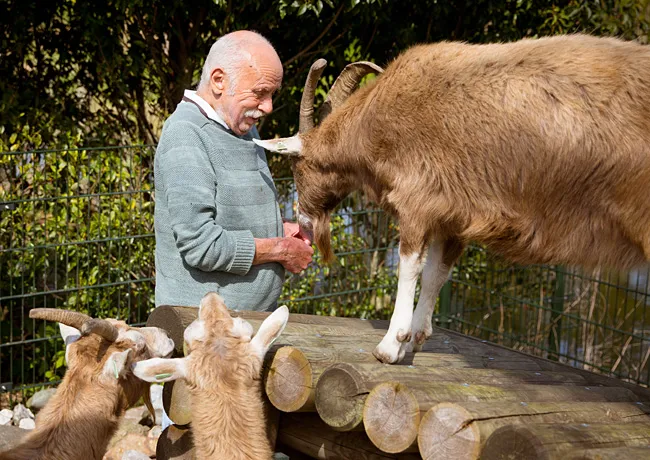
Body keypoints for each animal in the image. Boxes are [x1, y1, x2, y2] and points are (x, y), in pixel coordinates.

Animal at [253, 33, 648, 362]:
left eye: (299, 168)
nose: (303, 222)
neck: (376, 121)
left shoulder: (416, 199)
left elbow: (410, 265)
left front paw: (390, 345)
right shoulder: (455, 216)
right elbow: (436, 273)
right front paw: (413, 340)